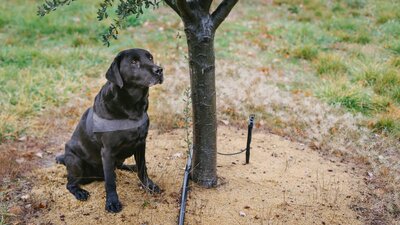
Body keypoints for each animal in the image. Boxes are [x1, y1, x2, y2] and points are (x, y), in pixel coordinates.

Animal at [55, 48, 163, 213]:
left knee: (119, 167)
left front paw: (149, 186)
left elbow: (142, 168)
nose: (160, 70)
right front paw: (112, 202)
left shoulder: (141, 144)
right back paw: (80, 192)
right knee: (70, 183)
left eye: (150, 58)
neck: (132, 107)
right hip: (75, 161)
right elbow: (110, 181)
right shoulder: (107, 151)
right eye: (134, 62)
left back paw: (130, 167)